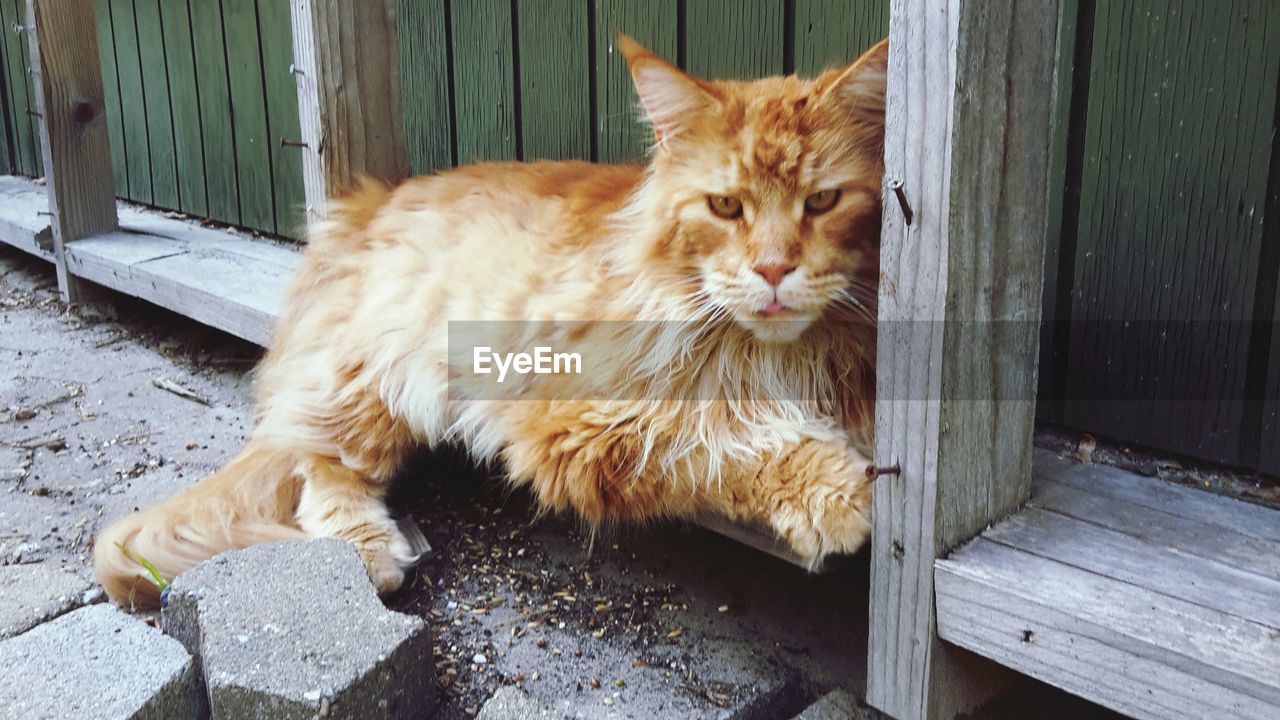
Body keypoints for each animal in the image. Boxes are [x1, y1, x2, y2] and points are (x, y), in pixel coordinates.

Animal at [94, 36, 890, 602]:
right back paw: (373, 551)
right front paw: (834, 491)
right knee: (317, 464)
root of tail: (370, 205)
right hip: (380, 377)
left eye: (822, 201)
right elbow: (722, 432)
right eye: (726, 206)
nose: (775, 269)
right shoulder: (583, 422)